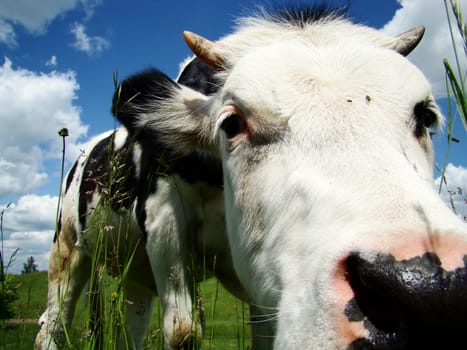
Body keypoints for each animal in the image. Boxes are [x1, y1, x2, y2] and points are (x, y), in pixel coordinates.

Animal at [35, 4, 467, 350]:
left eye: (426, 115)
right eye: (231, 123)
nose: (434, 294)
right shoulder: (164, 222)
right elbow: (184, 332)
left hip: (135, 277)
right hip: (68, 249)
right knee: (51, 324)